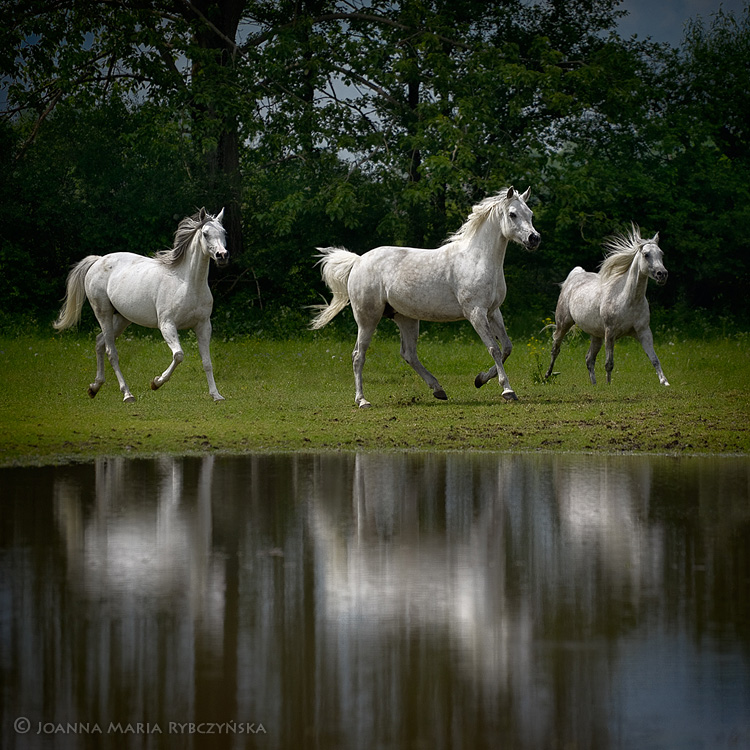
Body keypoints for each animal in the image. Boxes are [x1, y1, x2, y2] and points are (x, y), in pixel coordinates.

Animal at [54, 209, 229, 402]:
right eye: (205, 233)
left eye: (224, 232)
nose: (222, 255)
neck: (187, 283)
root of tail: (98, 260)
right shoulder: (167, 325)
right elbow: (179, 355)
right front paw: (156, 382)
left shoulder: (203, 325)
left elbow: (207, 362)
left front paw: (216, 395)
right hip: (103, 313)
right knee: (111, 352)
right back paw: (127, 394)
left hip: (122, 319)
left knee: (99, 342)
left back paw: (94, 387)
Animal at [310, 188, 540, 412]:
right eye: (512, 214)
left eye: (530, 214)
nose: (534, 239)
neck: (477, 259)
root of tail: (358, 261)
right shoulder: (476, 313)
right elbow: (494, 348)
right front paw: (507, 390)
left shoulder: (493, 312)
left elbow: (507, 347)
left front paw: (480, 379)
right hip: (367, 319)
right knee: (358, 355)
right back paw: (362, 401)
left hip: (406, 319)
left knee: (409, 354)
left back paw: (438, 389)